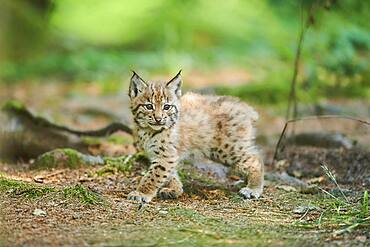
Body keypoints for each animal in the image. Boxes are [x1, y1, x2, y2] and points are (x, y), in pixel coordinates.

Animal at [127, 70, 264, 203]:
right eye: (149, 106)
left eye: (167, 107)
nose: (158, 119)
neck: (147, 130)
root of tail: (245, 107)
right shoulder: (161, 154)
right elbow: (169, 174)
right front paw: (175, 189)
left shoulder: (165, 155)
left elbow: (154, 175)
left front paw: (141, 193)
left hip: (226, 149)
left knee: (255, 159)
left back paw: (253, 189)